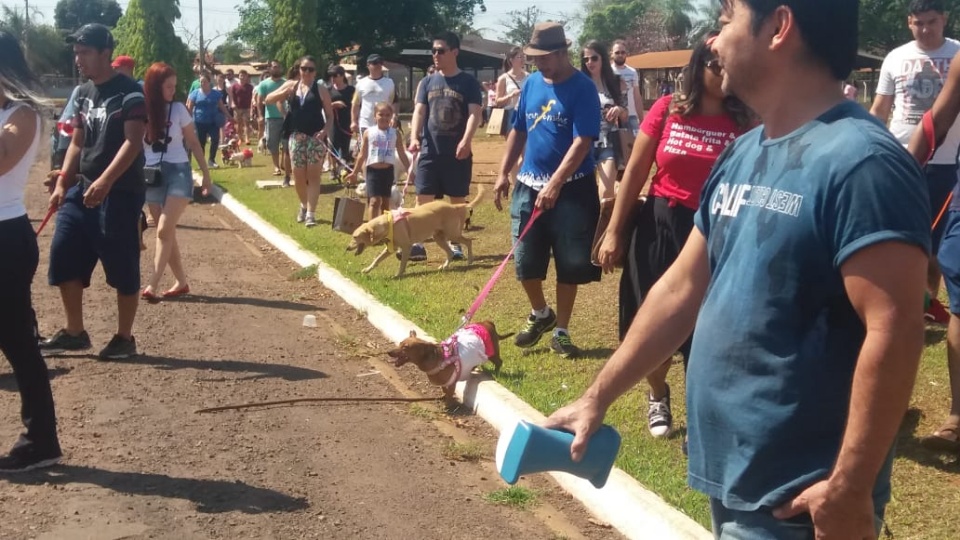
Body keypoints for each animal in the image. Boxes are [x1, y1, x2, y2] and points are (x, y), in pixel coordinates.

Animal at [344, 187, 484, 278]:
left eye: (355, 237)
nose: (347, 248)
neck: (388, 223)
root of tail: (454, 206)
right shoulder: (390, 249)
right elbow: (376, 260)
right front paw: (367, 270)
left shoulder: (406, 247)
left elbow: (402, 264)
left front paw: (398, 275)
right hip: (439, 237)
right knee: (450, 252)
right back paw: (444, 267)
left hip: (452, 234)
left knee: (469, 241)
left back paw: (470, 260)